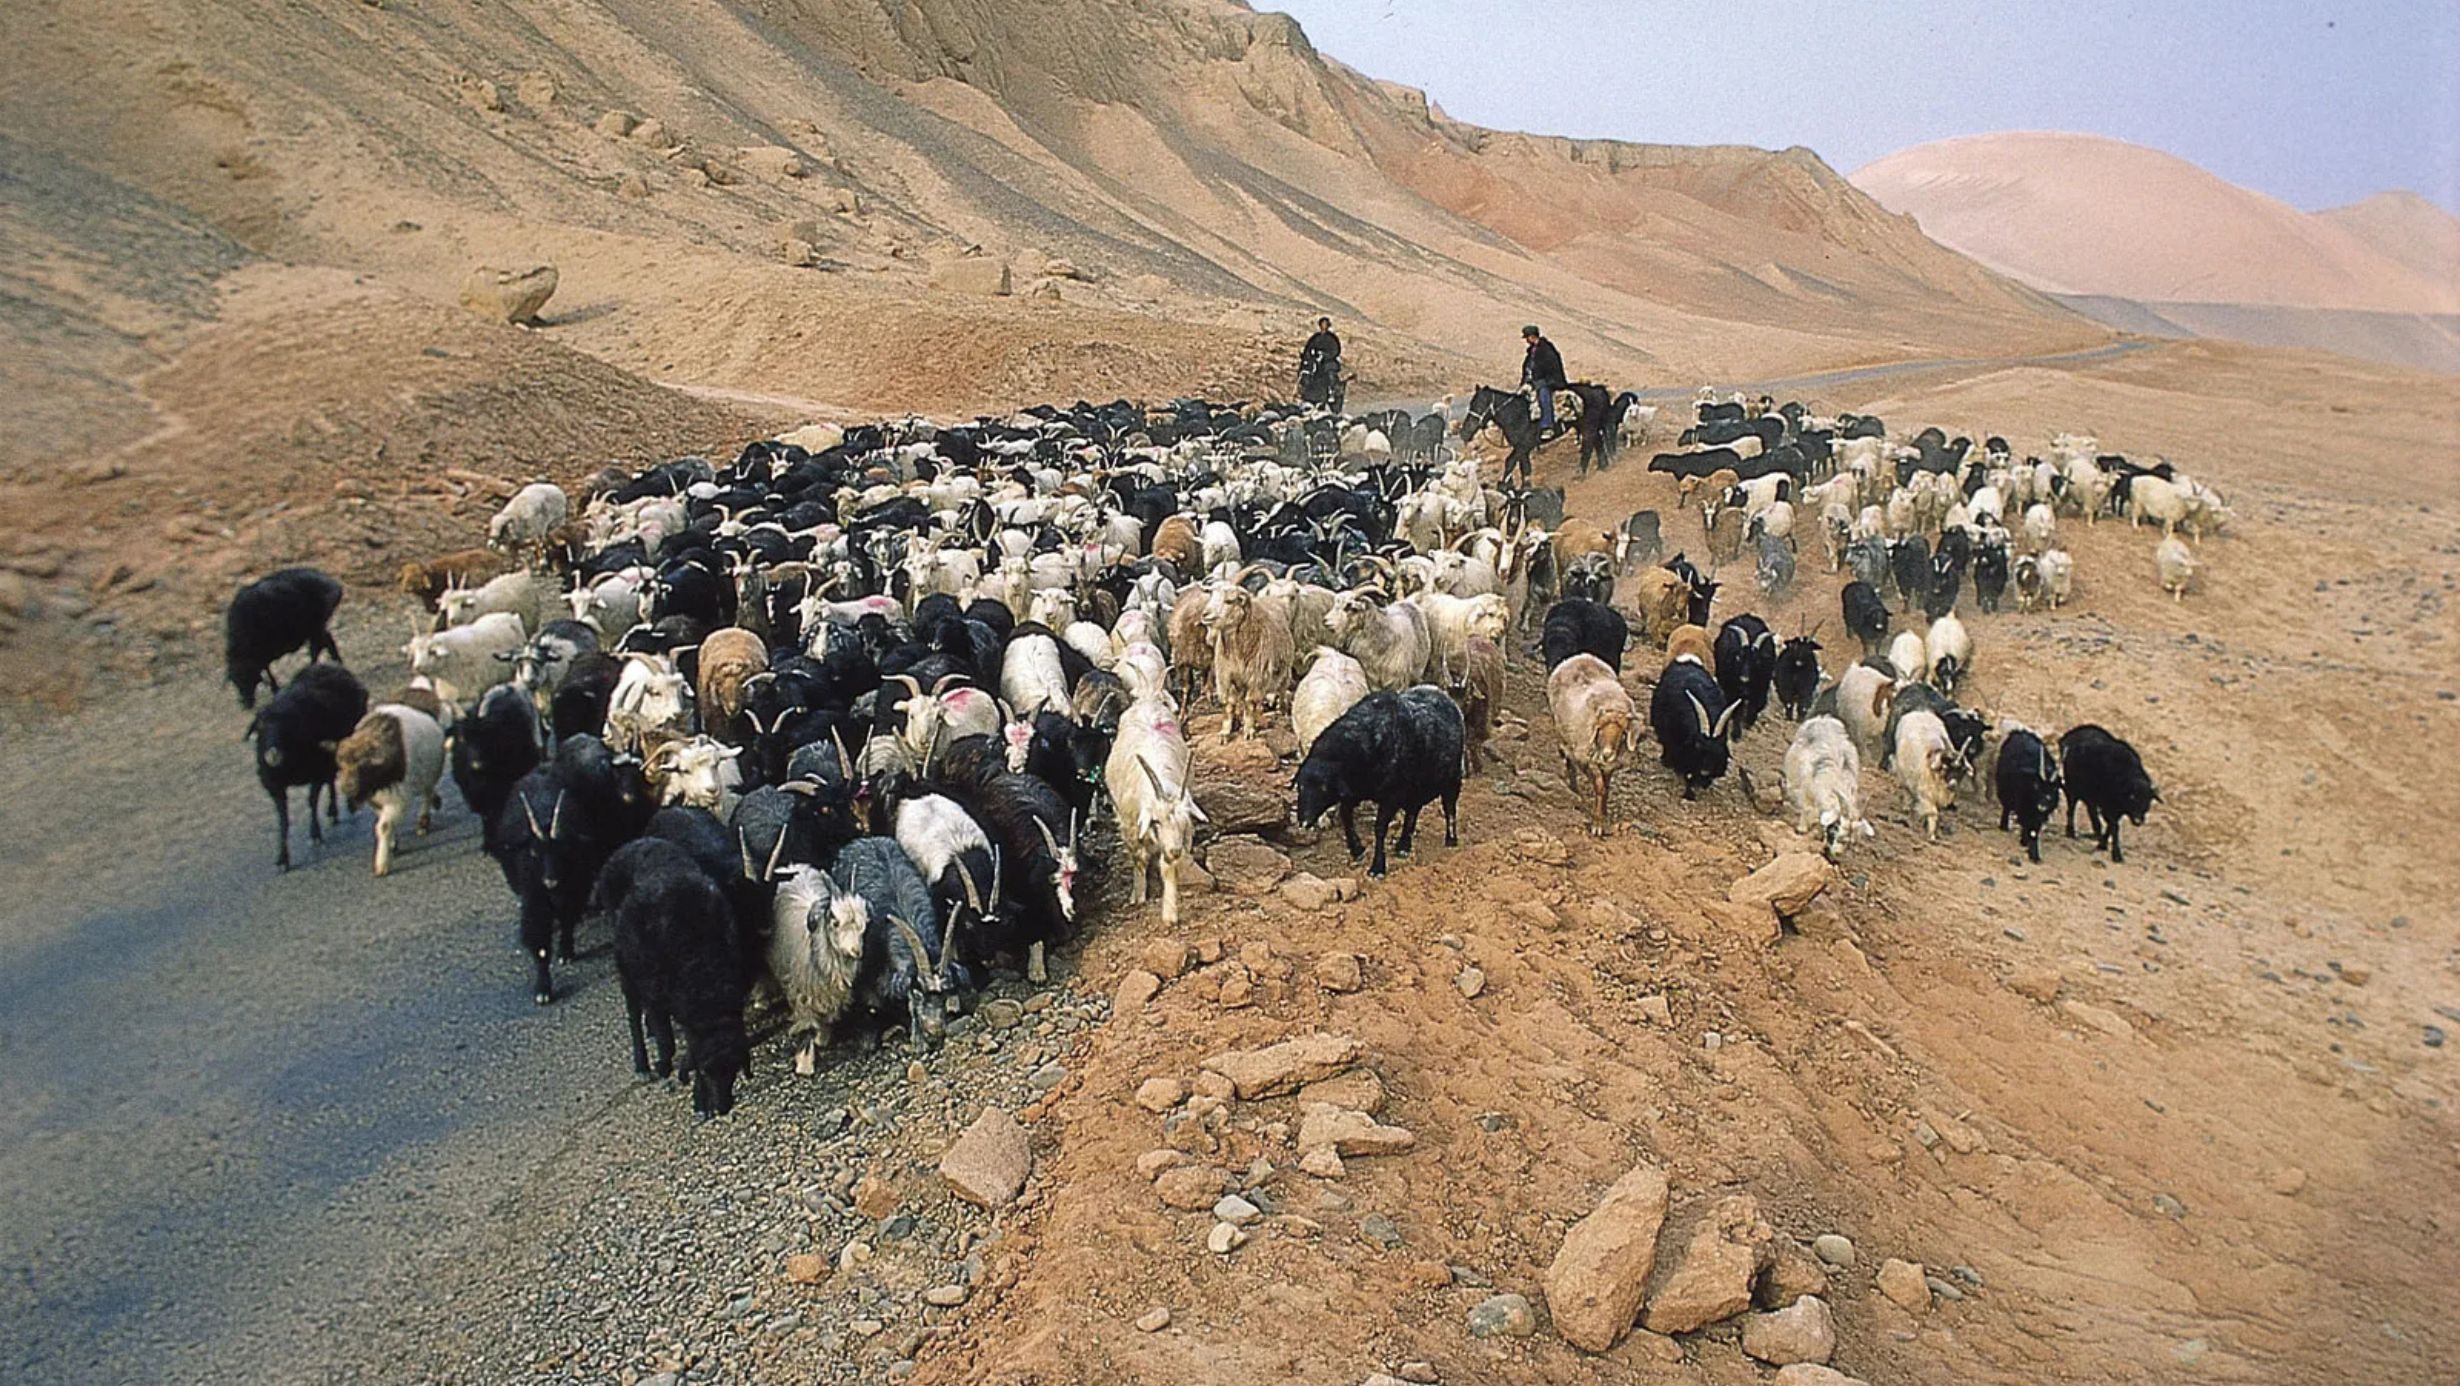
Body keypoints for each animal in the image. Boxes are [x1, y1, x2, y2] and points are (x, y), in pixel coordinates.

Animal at [226, 568, 344, 709]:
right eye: (235, 682)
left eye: (246, 678)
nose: (247, 704)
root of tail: (334, 585)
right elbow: (267, 668)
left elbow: (266, 669)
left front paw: (275, 688)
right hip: (315, 628)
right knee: (324, 642)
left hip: (315, 627)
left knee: (319, 646)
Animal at [243, 659, 364, 866]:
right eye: (260, 727)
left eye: (286, 728)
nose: (272, 755)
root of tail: (327, 665)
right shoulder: (275, 786)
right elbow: (283, 819)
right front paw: (282, 858)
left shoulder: (316, 771)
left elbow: (312, 801)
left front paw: (315, 835)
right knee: (331, 779)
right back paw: (333, 812)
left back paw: (346, 805)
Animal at [597, 841, 742, 1122]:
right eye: (706, 1071)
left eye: (734, 1071)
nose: (723, 1108)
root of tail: (628, 847)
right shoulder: (655, 995)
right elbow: (667, 1041)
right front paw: (663, 1066)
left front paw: (700, 1101)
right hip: (626, 966)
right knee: (633, 1012)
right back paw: (642, 1063)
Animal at [1289, 684, 1456, 876]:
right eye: (1300, 787)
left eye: (1324, 788)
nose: (1304, 821)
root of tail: (1436, 690)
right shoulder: (1353, 792)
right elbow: (1346, 817)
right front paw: (1357, 850)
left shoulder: (1391, 796)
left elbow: (1380, 828)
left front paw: (1377, 867)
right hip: (1415, 788)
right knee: (1412, 812)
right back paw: (1403, 846)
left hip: (1452, 779)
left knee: (1449, 808)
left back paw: (1451, 840)